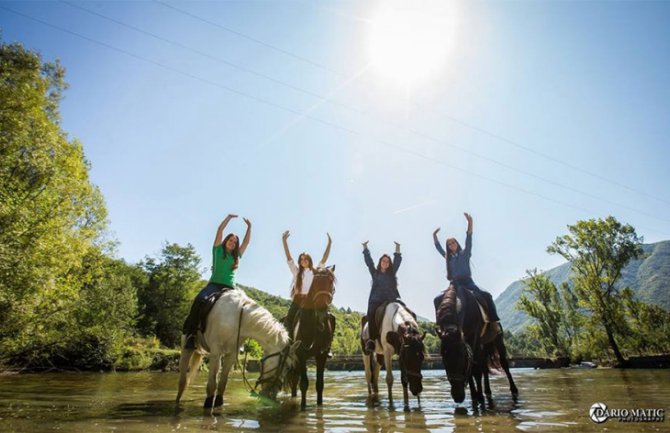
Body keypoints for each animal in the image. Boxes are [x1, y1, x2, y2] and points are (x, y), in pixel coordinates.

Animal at [292, 264, 338, 408]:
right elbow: (304, 384)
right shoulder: (301, 355)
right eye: (315, 283)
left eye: (331, 283)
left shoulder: (321, 355)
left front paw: (319, 405)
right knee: (295, 381)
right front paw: (302, 407)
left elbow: (319, 385)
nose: (322, 310)